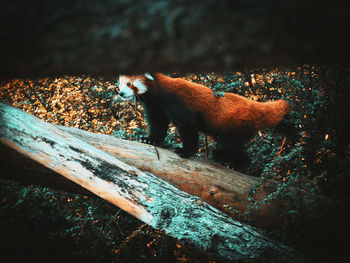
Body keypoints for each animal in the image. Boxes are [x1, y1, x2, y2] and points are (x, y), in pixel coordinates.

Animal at [117, 73, 290, 170]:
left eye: (129, 84)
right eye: (120, 83)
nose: (120, 93)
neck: (157, 94)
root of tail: (253, 104)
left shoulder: (177, 102)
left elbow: (187, 128)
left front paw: (185, 150)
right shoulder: (155, 106)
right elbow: (158, 125)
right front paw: (149, 140)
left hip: (235, 125)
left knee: (230, 145)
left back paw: (223, 156)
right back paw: (236, 163)